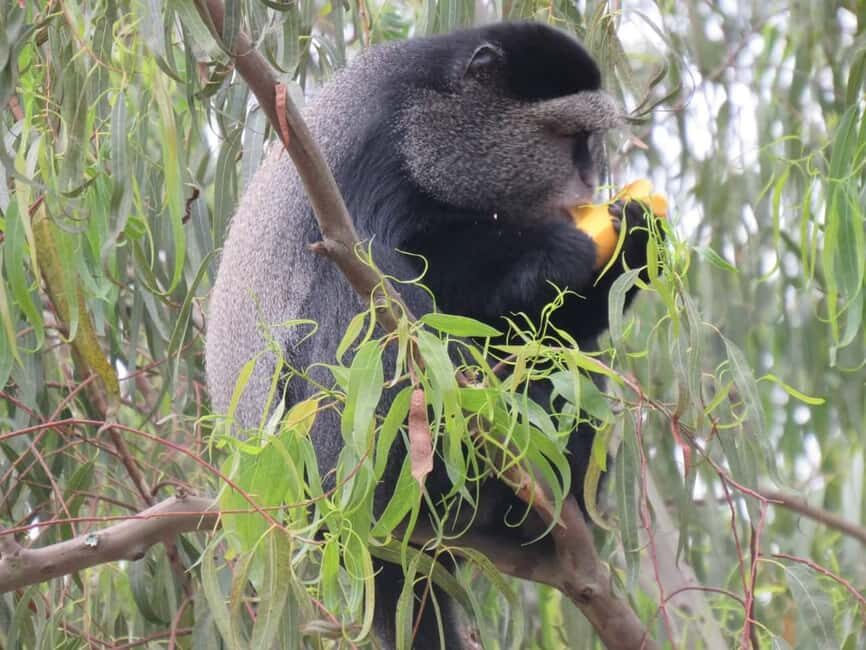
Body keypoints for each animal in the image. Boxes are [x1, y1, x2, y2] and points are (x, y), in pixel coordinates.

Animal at [206, 21, 655, 649]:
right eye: (570, 138)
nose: (591, 181)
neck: (427, 107)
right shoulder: (375, 157)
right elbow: (405, 263)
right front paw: (557, 249)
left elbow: (537, 322)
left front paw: (636, 240)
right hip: (331, 447)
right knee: (366, 303)